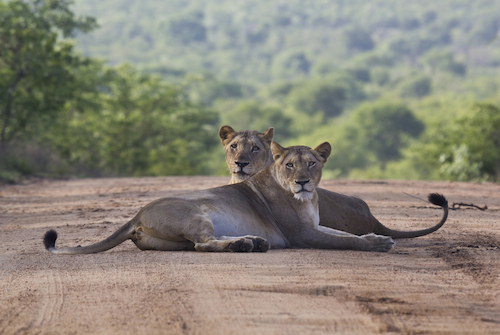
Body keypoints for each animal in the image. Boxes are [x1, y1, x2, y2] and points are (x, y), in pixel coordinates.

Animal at [44, 142, 394, 255]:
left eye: (311, 163)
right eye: (289, 165)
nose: (303, 182)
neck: (306, 200)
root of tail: (135, 217)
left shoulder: (315, 226)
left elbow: (345, 233)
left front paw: (375, 236)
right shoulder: (302, 234)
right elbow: (345, 240)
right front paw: (379, 243)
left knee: (202, 243)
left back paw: (253, 241)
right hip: (195, 214)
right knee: (203, 244)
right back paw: (246, 245)